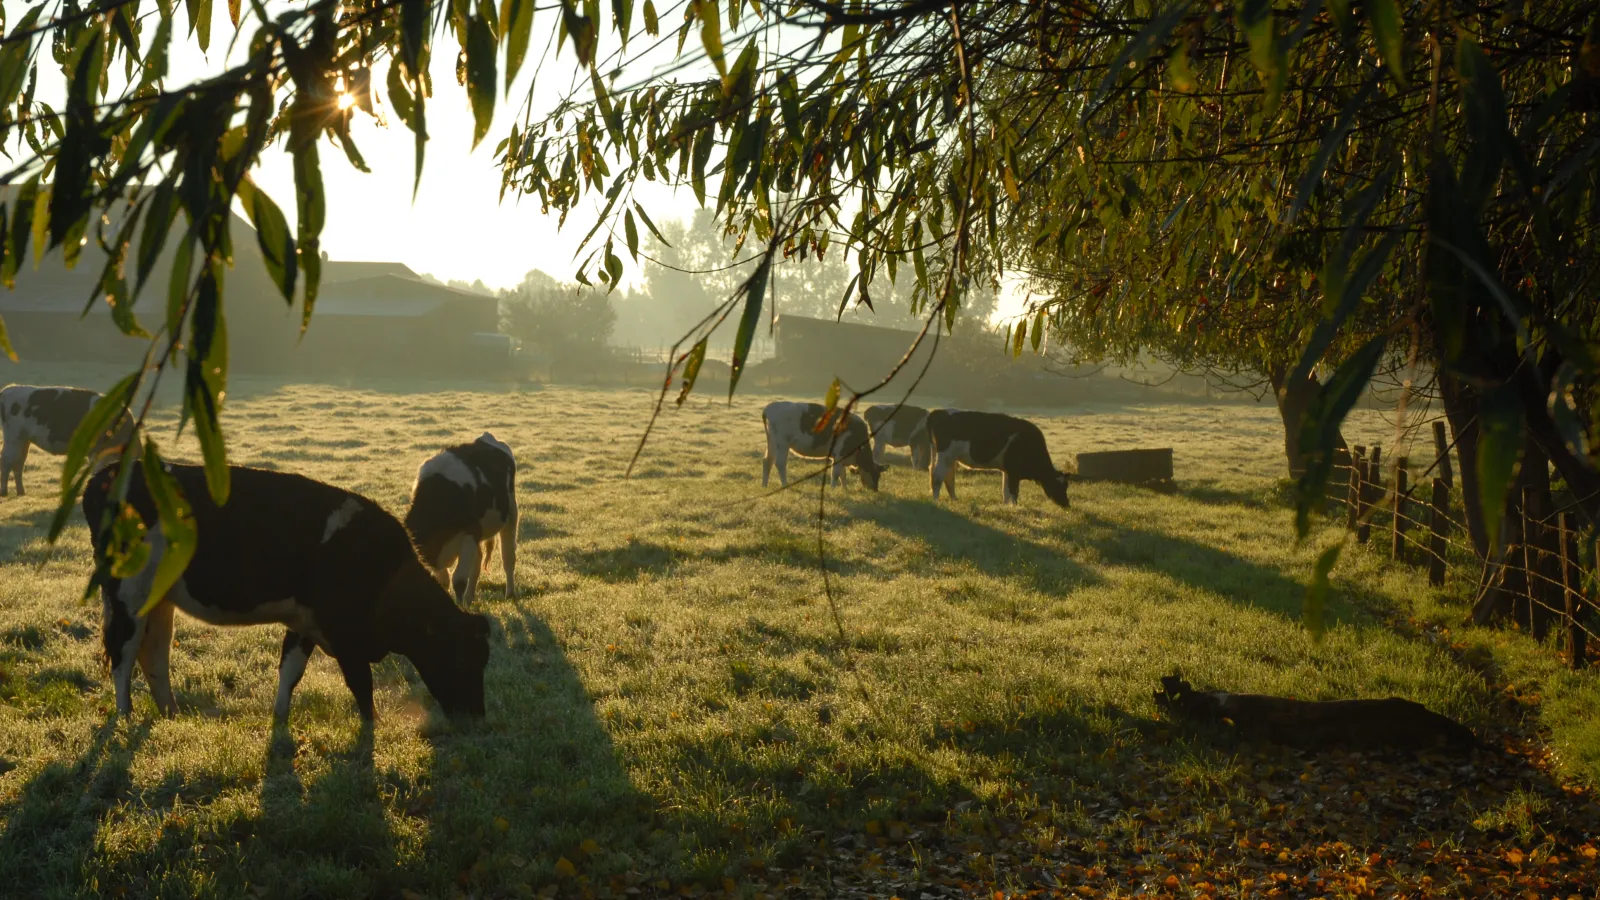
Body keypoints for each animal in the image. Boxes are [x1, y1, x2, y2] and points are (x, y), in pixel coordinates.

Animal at [1, 379, 132, 496]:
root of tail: (9, 389)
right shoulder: (97, 451)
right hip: (13, 438)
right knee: (6, 461)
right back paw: (4, 492)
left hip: (23, 440)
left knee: (18, 463)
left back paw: (21, 492)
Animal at [81, 461, 489, 720]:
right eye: (464, 657)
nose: (475, 716)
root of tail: (106, 475)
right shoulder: (345, 637)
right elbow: (361, 687)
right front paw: (371, 731)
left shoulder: (305, 621)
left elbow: (290, 671)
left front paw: (279, 720)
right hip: (128, 594)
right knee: (123, 653)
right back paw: (125, 717)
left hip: (159, 599)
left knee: (154, 653)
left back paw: (170, 714)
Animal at [406, 432, 518, 602]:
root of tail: (486, 437)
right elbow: (444, 580)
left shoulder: (469, 533)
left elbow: (458, 580)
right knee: (478, 561)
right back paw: (469, 598)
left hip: (511, 512)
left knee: (508, 556)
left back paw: (510, 593)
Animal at [761, 398, 889, 486]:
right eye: (875, 473)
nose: (875, 490)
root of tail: (770, 407)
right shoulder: (839, 453)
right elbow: (836, 473)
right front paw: (833, 490)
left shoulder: (840, 457)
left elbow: (843, 474)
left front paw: (845, 490)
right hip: (782, 443)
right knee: (780, 463)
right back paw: (784, 485)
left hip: (772, 442)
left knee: (767, 461)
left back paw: (764, 486)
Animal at [928, 408, 1075, 506]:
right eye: (1059, 486)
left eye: (1067, 486)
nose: (1067, 504)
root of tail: (938, 411)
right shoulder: (1014, 471)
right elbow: (1014, 491)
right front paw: (1015, 507)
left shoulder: (1008, 470)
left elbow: (1005, 490)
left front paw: (1006, 506)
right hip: (945, 454)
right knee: (938, 476)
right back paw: (936, 499)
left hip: (948, 457)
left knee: (948, 476)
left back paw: (954, 499)